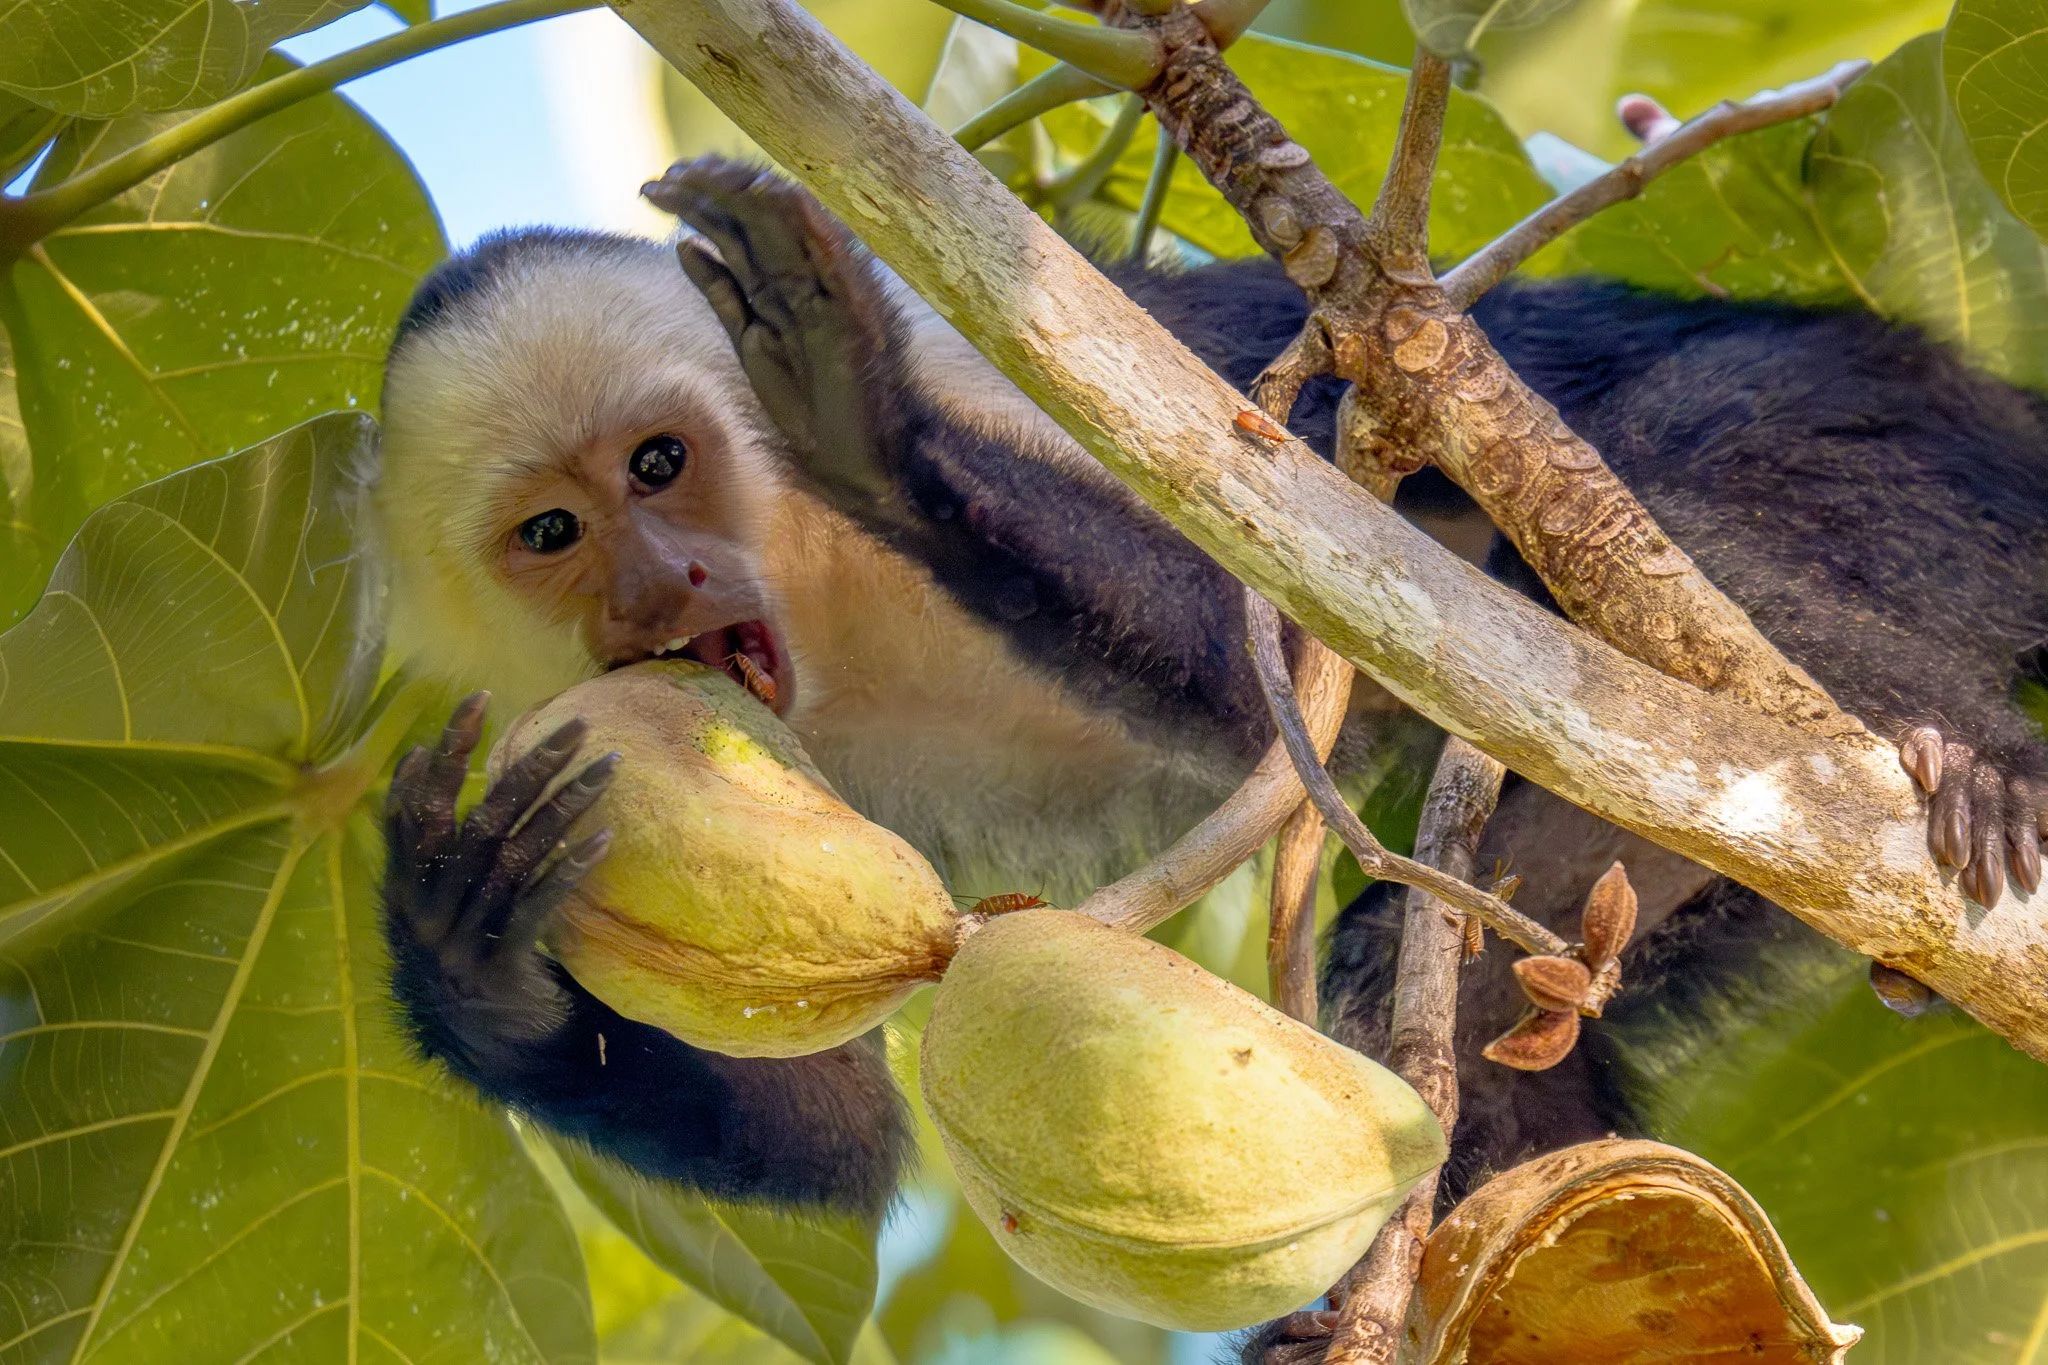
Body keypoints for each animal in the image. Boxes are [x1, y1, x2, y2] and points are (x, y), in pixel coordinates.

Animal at [374, 156, 2048, 1223]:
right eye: (553, 534)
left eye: (661, 463)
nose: (657, 587)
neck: (829, 602)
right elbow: (840, 1115)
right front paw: (471, 942)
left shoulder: (1015, 382)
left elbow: (1288, 662)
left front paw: (877, 434)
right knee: (1477, 978)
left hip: (1870, 420)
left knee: (1676, 533)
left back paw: (1970, 760)